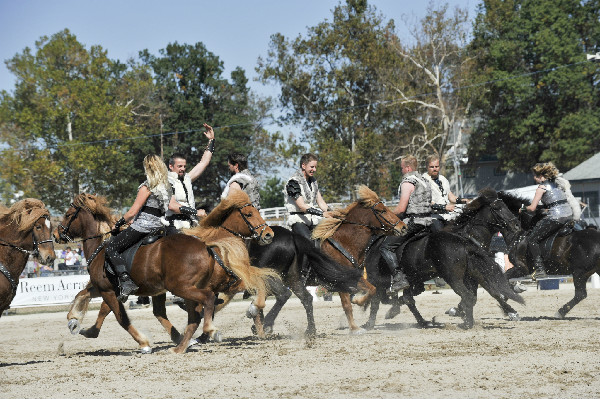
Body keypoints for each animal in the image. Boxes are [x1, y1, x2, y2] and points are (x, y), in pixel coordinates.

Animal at [54, 192, 276, 354]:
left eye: (68, 214)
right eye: (249, 214)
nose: (56, 233)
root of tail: (205, 246)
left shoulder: (108, 290)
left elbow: (119, 317)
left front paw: (144, 343)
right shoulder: (109, 289)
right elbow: (86, 297)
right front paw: (76, 322)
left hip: (182, 287)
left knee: (207, 301)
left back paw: (207, 331)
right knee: (198, 312)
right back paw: (184, 344)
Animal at [358, 189, 524, 330]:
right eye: (497, 207)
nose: (517, 225)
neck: (468, 236)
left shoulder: (475, 275)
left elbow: (493, 292)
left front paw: (511, 312)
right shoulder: (474, 275)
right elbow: (488, 293)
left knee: (402, 299)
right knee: (389, 299)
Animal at [494, 192, 600, 320]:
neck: (520, 234)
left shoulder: (522, 268)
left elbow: (504, 280)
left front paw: (507, 308)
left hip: (579, 272)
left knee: (580, 294)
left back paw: (560, 312)